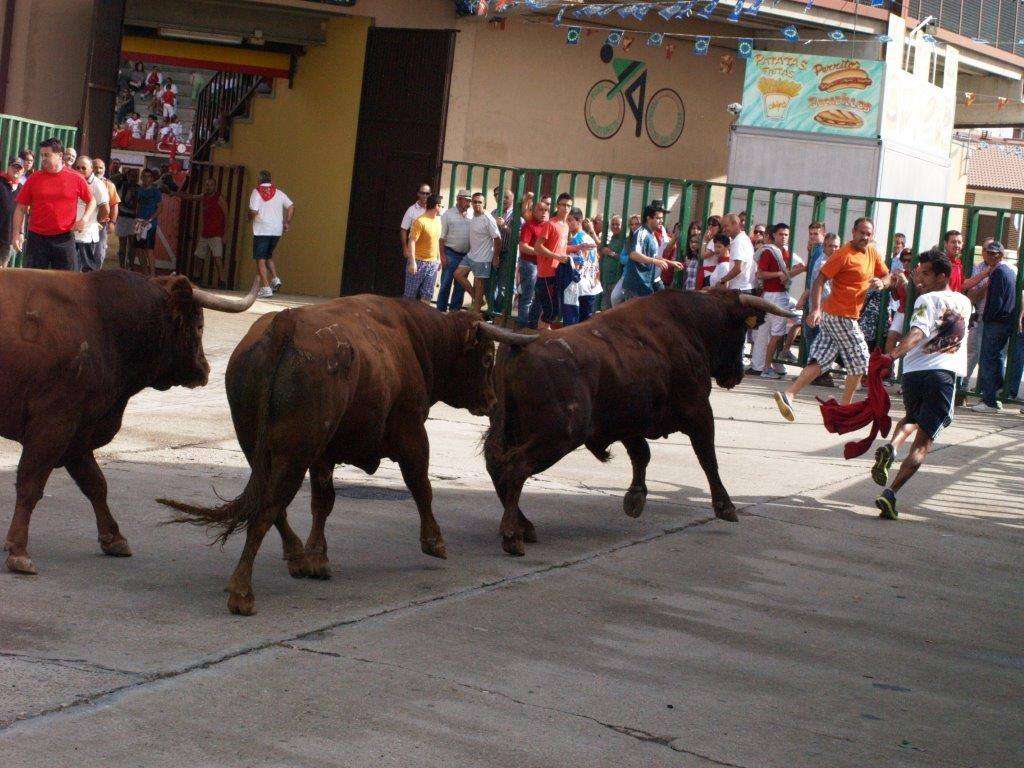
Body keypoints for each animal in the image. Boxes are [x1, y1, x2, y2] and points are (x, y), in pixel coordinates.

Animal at [1, 270, 256, 577]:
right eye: (199, 326)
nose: (204, 369)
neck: (105, 322)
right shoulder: (54, 424)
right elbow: (31, 484)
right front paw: (18, 551)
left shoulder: (80, 432)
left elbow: (95, 484)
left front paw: (114, 538)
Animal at [157, 296, 497, 618]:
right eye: (487, 358)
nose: (492, 401)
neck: (414, 336)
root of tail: (284, 323)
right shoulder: (412, 432)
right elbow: (421, 487)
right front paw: (434, 542)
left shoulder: (323, 454)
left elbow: (322, 502)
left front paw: (317, 556)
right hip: (295, 454)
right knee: (266, 510)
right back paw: (242, 592)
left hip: (261, 447)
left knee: (270, 504)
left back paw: (295, 557)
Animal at [479, 288, 790, 552]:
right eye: (740, 330)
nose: (737, 374)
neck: (691, 324)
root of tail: (519, 345)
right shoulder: (700, 412)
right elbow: (707, 459)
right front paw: (725, 506)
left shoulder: (628, 422)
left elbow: (642, 454)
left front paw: (635, 498)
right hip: (558, 435)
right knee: (516, 466)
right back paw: (512, 535)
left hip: (510, 430)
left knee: (497, 466)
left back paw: (524, 526)